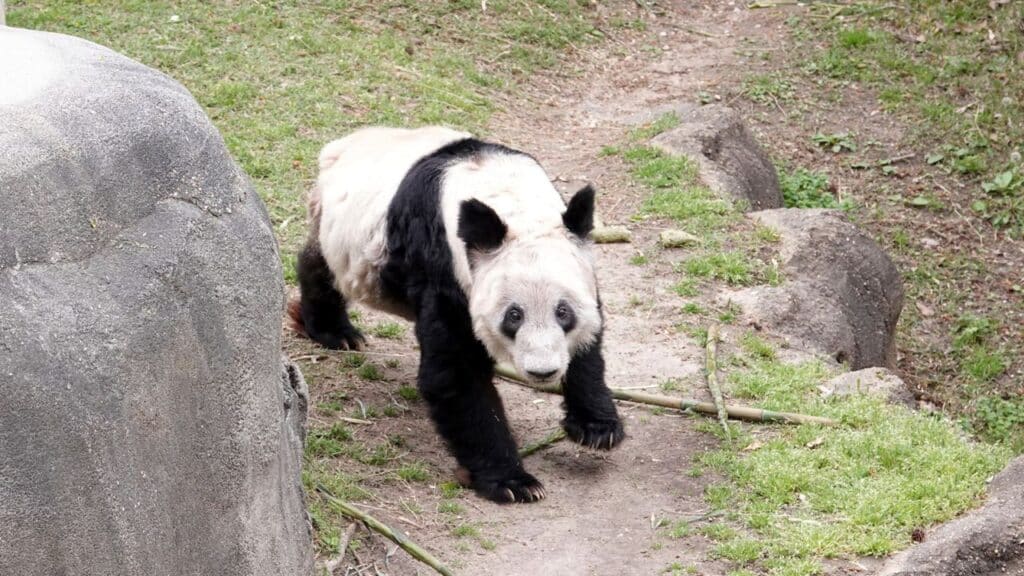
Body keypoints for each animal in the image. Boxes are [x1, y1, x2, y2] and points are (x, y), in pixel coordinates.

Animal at [288, 124, 622, 498]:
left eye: (563, 313)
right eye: (514, 315)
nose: (542, 371)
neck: (509, 198)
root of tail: (342, 145)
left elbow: (590, 340)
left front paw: (597, 426)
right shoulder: (444, 265)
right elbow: (455, 372)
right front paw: (512, 482)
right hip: (341, 232)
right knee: (321, 266)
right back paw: (335, 332)